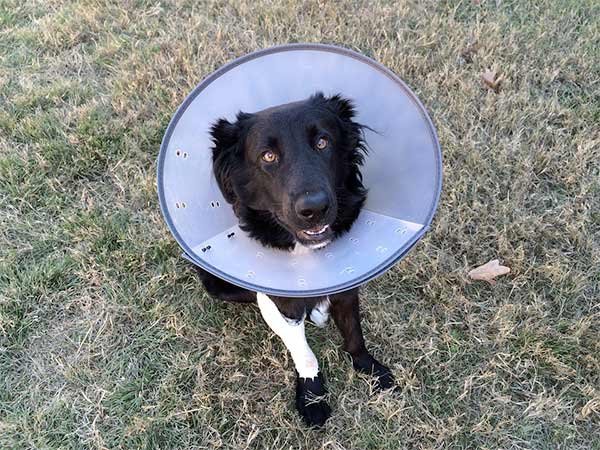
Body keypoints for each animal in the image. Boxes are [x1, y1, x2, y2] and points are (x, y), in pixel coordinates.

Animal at [195, 92, 396, 426]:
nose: (314, 209)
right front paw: (313, 395)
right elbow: (302, 350)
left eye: (323, 142)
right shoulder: (283, 301)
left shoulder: (348, 281)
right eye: (268, 156)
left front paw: (369, 368)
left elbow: (354, 331)